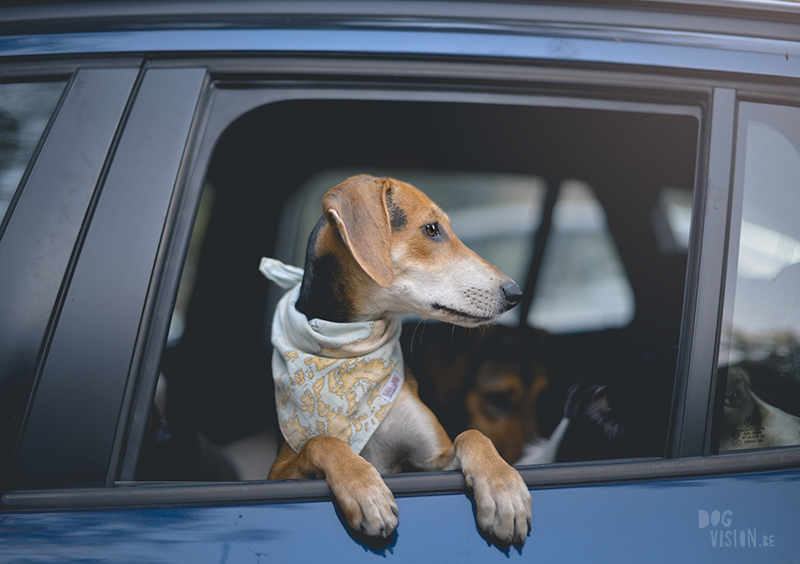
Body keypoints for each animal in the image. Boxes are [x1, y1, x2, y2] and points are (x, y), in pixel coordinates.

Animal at [262, 175, 536, 548]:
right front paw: (364, 488)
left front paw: (503, 486)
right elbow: (321, 442)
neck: (351, 349)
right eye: (432, 229)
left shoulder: (433, 462)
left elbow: (472, 434)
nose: (515, 293)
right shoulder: (278, 473)